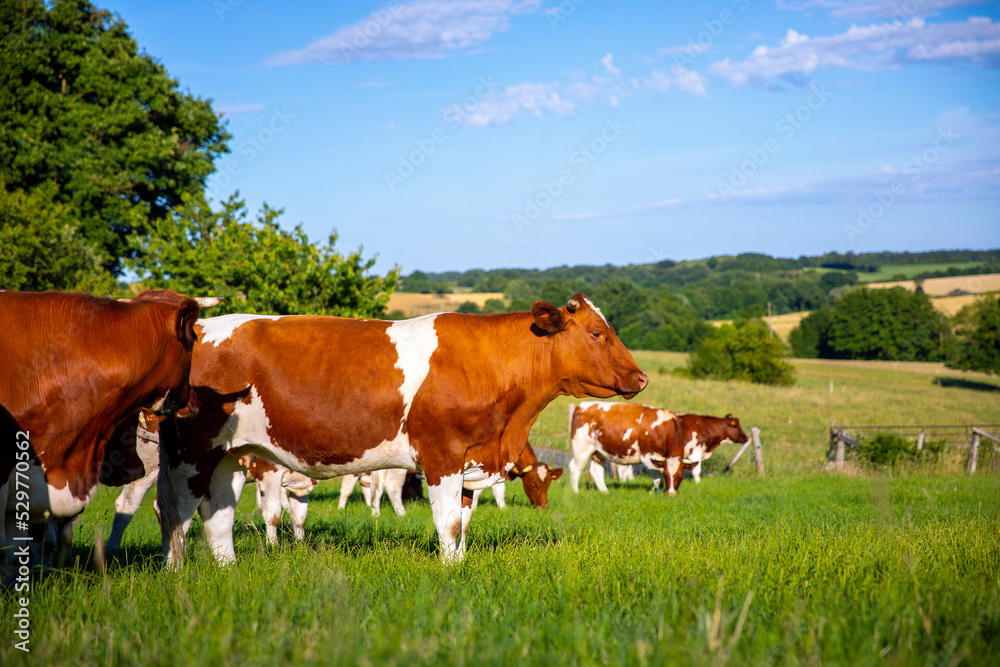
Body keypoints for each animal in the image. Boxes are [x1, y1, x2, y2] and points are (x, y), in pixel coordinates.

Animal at [154, 294, 648, 568]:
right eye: (597, 333)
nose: (641, 377)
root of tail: (200, 326)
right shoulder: (442, 454)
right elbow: (448, 523)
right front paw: (450, 571)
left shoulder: (470, 460)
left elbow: (464, 522)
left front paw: (459, 564)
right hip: (191, 450)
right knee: (176, 511)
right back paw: (175, 573)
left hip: (230, 455)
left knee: (218, 516)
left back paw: (227, 569)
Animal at [568, 402, 748, 496]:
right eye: (738, 426)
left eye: (680, 475)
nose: (671, 493)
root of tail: (583, 405)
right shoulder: (652, 455)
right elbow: (661, 475)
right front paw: (653, 491)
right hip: (582, 449)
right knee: (575, 468)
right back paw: (575, 492)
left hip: (599, 452)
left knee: (596, 470)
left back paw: (605, 492)